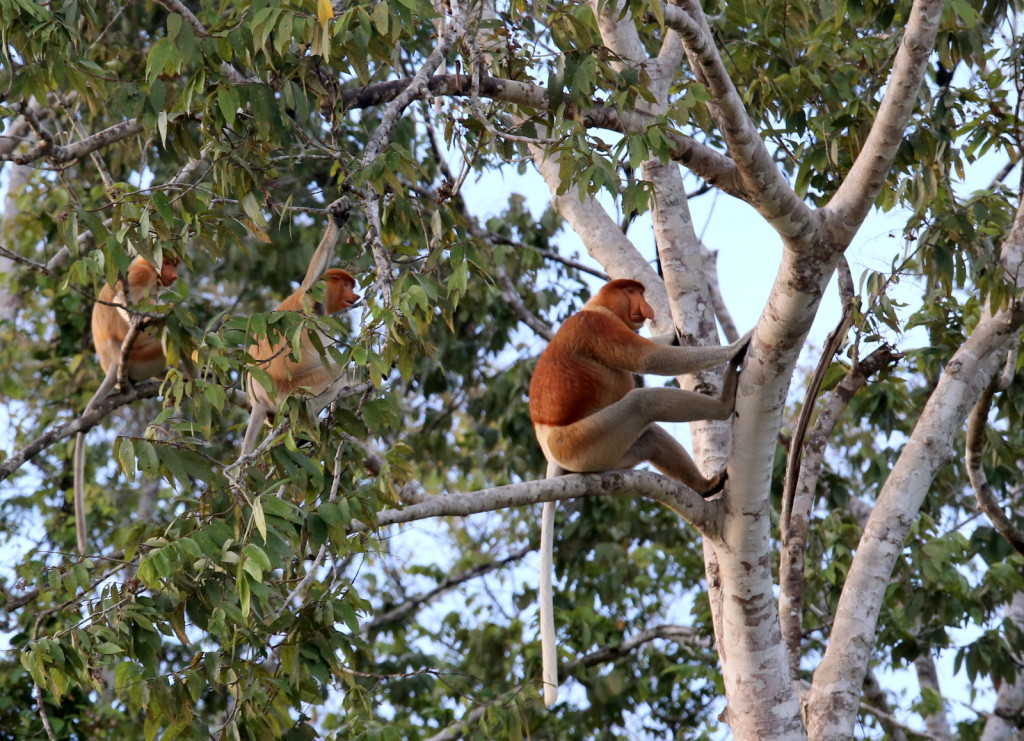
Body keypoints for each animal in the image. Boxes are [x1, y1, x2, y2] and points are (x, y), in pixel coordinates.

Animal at [73, 255, 182, 555]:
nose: (174, 275)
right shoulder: (142, 275)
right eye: (169, 262)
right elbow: (124, 299)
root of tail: (112, 361)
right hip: (141, 357)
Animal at [240, 198, 358, 456]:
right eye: (346, 285)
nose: (355, 295)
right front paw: (336, 220)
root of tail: (259, 400)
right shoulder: (310, 304)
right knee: (335, 373)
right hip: (289, 392)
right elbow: (308, 284)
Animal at [527, 278, 751, 706]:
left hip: (606, 450)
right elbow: (649, 359)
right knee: (643, 402)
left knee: (649, 435)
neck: (596, 307)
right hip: (585, 442)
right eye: (633, 292)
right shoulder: (598, 328)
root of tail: (549, 447)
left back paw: (704, 486)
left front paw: (674, 335)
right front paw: (738, 345)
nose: (646, 308)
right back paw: (722, 404)